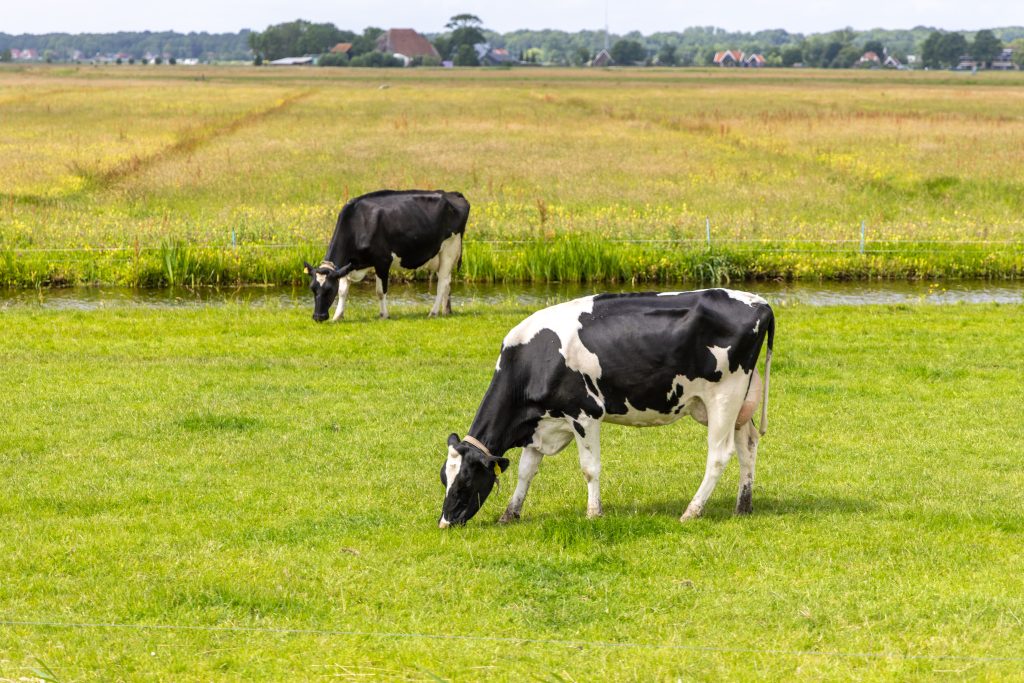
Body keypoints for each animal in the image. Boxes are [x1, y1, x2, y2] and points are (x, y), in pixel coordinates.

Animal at [304, 190, 470, 322]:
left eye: (329, 290)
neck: (358, 223)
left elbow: (380, 291)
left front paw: (384, 315)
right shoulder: (348, 266)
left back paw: (433, 312)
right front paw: (337, 316)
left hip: (449, 248)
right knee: (447, 281)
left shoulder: (382, 261)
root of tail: (452, 193)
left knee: (442, 283)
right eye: (312, 288)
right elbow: (343, 291)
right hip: (440, 256)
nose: (318, 317)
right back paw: (446, 311)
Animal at [438, 289, 775, 527]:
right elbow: (526, 472)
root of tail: (759, 302)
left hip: (724, 397)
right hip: (738, 403)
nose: (445, 522)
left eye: (465, 481)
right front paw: (510, 513)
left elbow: (590, 469)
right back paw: (743, 506)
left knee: (719, 455)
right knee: (747, 445)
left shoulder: (584, 414)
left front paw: (593, 512)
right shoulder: (541, 423)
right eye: (444, 477)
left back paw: (691, 511)